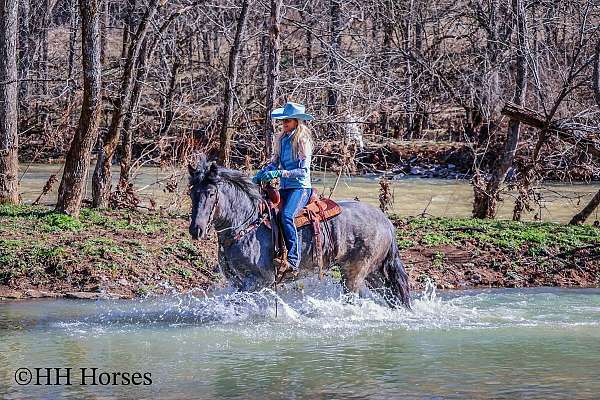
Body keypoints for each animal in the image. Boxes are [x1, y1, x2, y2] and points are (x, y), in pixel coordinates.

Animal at [189, 158, 412, 308]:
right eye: (191, 193)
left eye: (211, 193)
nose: (195, 230)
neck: (246, 224)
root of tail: (385, 221)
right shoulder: (238, 281)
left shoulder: (259, 281)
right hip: (374, 273)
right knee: (392, 296)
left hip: (355, 273)